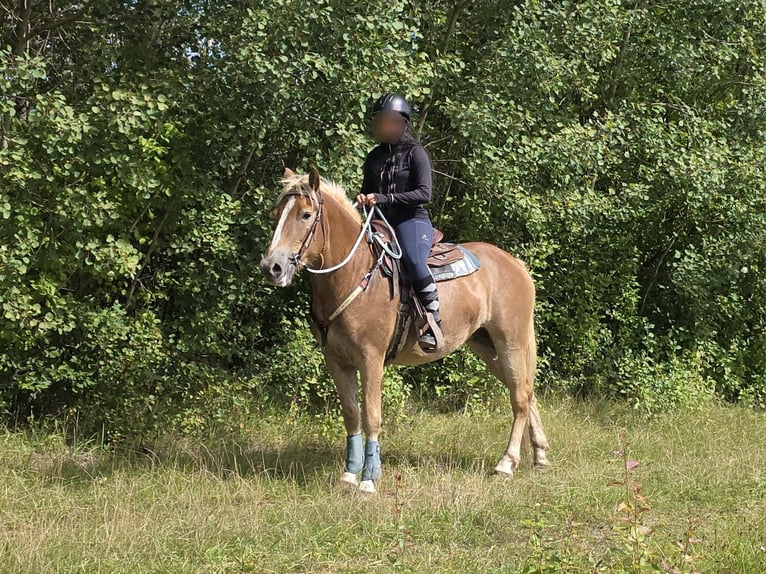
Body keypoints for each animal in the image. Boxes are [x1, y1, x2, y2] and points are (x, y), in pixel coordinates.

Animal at [260, 166, 550, 494]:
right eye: (276, 213)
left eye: (306, 215)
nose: (272, 267)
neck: (354, 274)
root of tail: (516, 264)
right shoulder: (336, 362)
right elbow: (351, 415)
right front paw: (349, 475)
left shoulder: (371, 360)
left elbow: (372, 416)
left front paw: (369, 479)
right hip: (487, 347)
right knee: (525, 390)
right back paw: (540, 456)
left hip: (511, 341)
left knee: (520, 397)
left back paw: (506, 463)